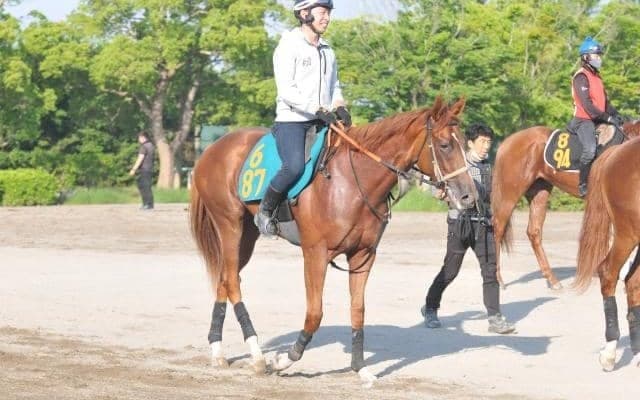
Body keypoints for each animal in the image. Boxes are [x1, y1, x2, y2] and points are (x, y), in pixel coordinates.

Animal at [189, 97, 477, 385]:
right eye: (444, 145)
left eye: (464, 142)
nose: (469, 197)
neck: (351, 181)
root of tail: (212, 149)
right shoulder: (315, 253)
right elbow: (315, 313)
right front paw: (284, 360)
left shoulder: (363, 255)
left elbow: (358, 310)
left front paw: (360, 368)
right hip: (230, 226)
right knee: (232, 282)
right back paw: (257, 356)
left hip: (246, 237)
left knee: (225, 278)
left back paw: (217, 350)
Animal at [491, 121, 640, 290]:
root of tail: (507, 142)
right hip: (510, 194)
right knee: (498, 228)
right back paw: (498, 279)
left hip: (539, 192)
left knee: (534, 232)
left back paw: (553, 281)